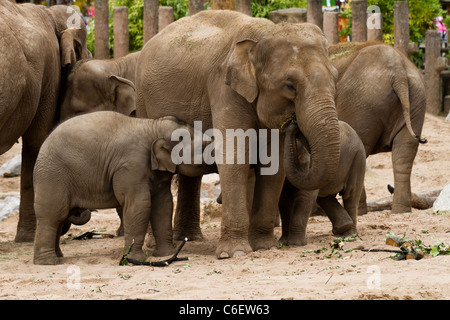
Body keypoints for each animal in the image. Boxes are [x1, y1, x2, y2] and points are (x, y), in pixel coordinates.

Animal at [32, 110, 212, 264]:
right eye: (204, 147)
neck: (153, 126)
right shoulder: (132, 166)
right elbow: (138, 204)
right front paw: (135, 259)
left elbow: (163, 204)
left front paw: (166, 254)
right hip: (52, 176)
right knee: (53, 214)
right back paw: (48, 262)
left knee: (60, 217)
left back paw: (58, 257)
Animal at [135, 10, 340, 258]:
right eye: (290, 85)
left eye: (336, 79)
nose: (292, 124)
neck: (263, 33)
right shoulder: (223, 88)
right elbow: (234, 156)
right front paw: (235, 253)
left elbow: (273, 164)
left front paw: (265, 246)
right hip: (143, 100)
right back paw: (154, 246)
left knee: (190, 175)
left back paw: (189, 239)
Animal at [326, 42, 426, 212]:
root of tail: (398, 72)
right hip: (416, 98)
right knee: (404, 152)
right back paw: (400, 211)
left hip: (361, 103)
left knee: (361, 148)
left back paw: (360, 211)